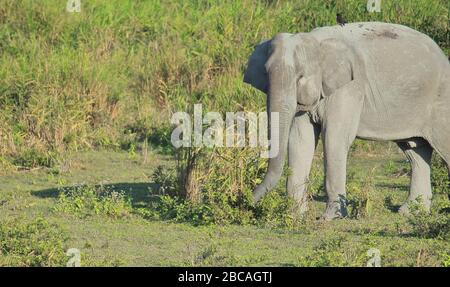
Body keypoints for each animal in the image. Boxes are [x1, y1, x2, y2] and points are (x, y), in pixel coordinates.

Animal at [244, 22, 450, 220]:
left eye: (301, 77)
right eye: (265, 74)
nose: (245, 202)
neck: (317, 42)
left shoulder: (350, 88)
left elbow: (333, 138)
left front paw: (330, 218)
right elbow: (300, 141)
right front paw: (294, 216)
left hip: (441, 101)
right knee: (415, 151)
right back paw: (411, 213)